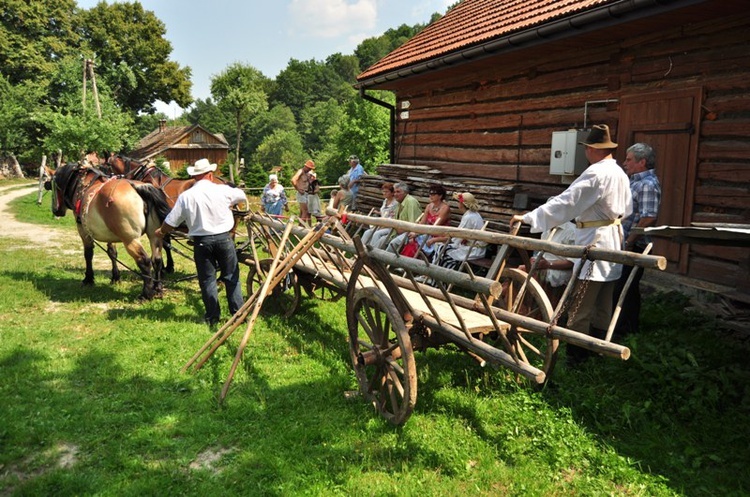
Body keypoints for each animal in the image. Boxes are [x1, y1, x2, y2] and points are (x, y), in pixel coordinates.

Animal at [49, 163, 172, 298]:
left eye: (52, 185)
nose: (55, 211)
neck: (84, 187)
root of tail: (138, 187)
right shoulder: (110, 235)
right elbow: (112, 254)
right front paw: (115, 277)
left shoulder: (84, 232)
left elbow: (88, 254)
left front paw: (88, 279)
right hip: (155, 235)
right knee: (157, 260)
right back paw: (158, 288)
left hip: (130, 239)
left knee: (144, 261)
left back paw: (146, 294)